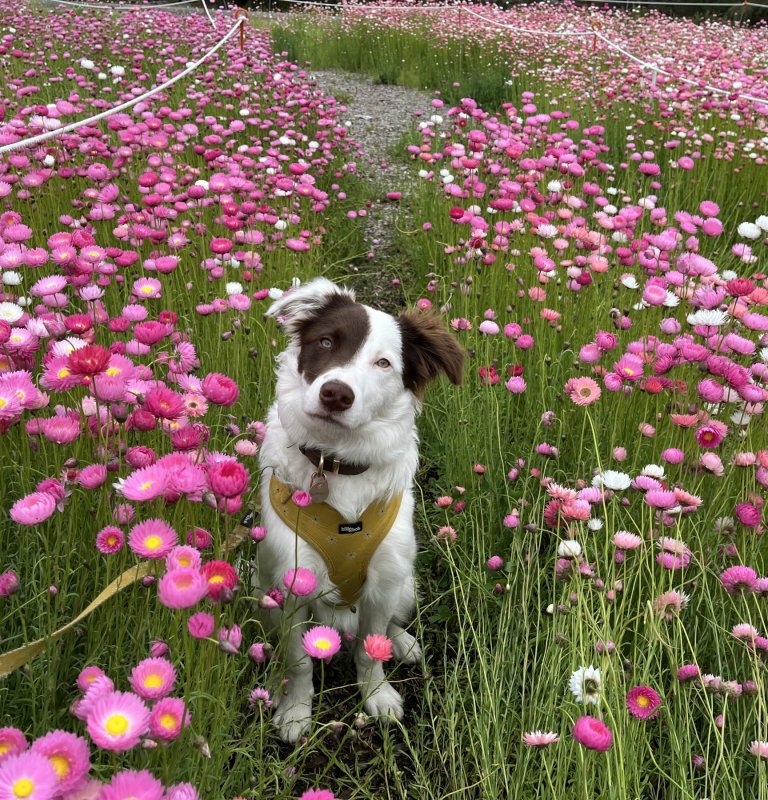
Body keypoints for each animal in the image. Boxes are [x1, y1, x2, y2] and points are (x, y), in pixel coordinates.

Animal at [256, 280, 462, 744]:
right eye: (326, 342)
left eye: (384, 363)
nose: (336, 393)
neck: (336, 466)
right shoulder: (291, 582)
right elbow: (298, 660)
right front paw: (295, 710)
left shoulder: (384, 579)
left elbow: (371, 648)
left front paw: (377, 695)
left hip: (405, 585)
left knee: (385, 626)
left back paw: (403, 643)